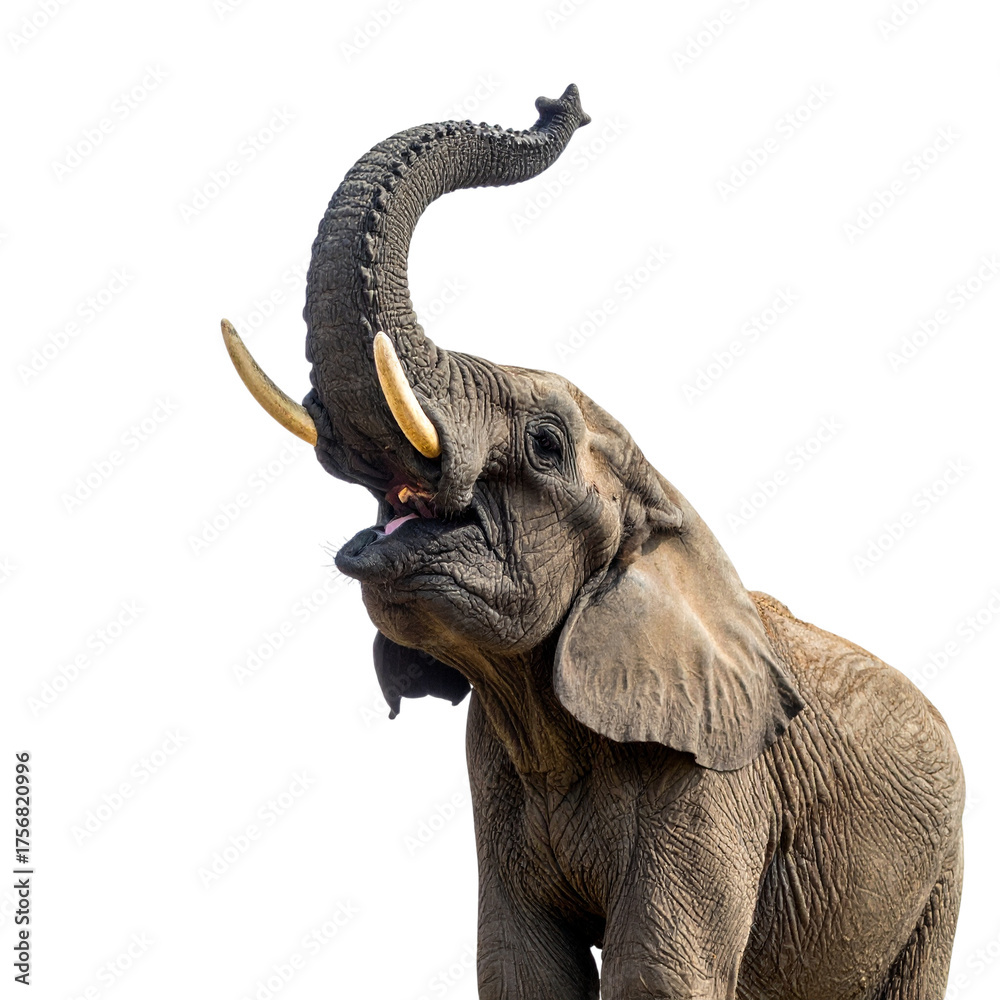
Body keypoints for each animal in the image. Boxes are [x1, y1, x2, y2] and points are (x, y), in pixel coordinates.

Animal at [221, 85, 964, 999]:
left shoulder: (716, 778)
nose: (561, 103)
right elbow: (521, 968)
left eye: (544, 445)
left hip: (941, 871)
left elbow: (658, 971)